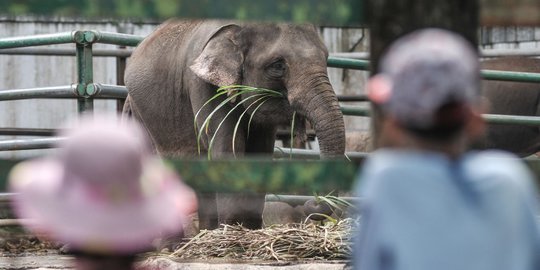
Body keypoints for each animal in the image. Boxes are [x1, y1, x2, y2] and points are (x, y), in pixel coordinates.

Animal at [123, 19, 346, 230]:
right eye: (277, 65)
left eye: (326, 58)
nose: (313, 202)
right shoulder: (203, 85)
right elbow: (227, 149)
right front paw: (232, 230)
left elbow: (259, 153)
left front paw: (249, 230)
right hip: (141, 117)